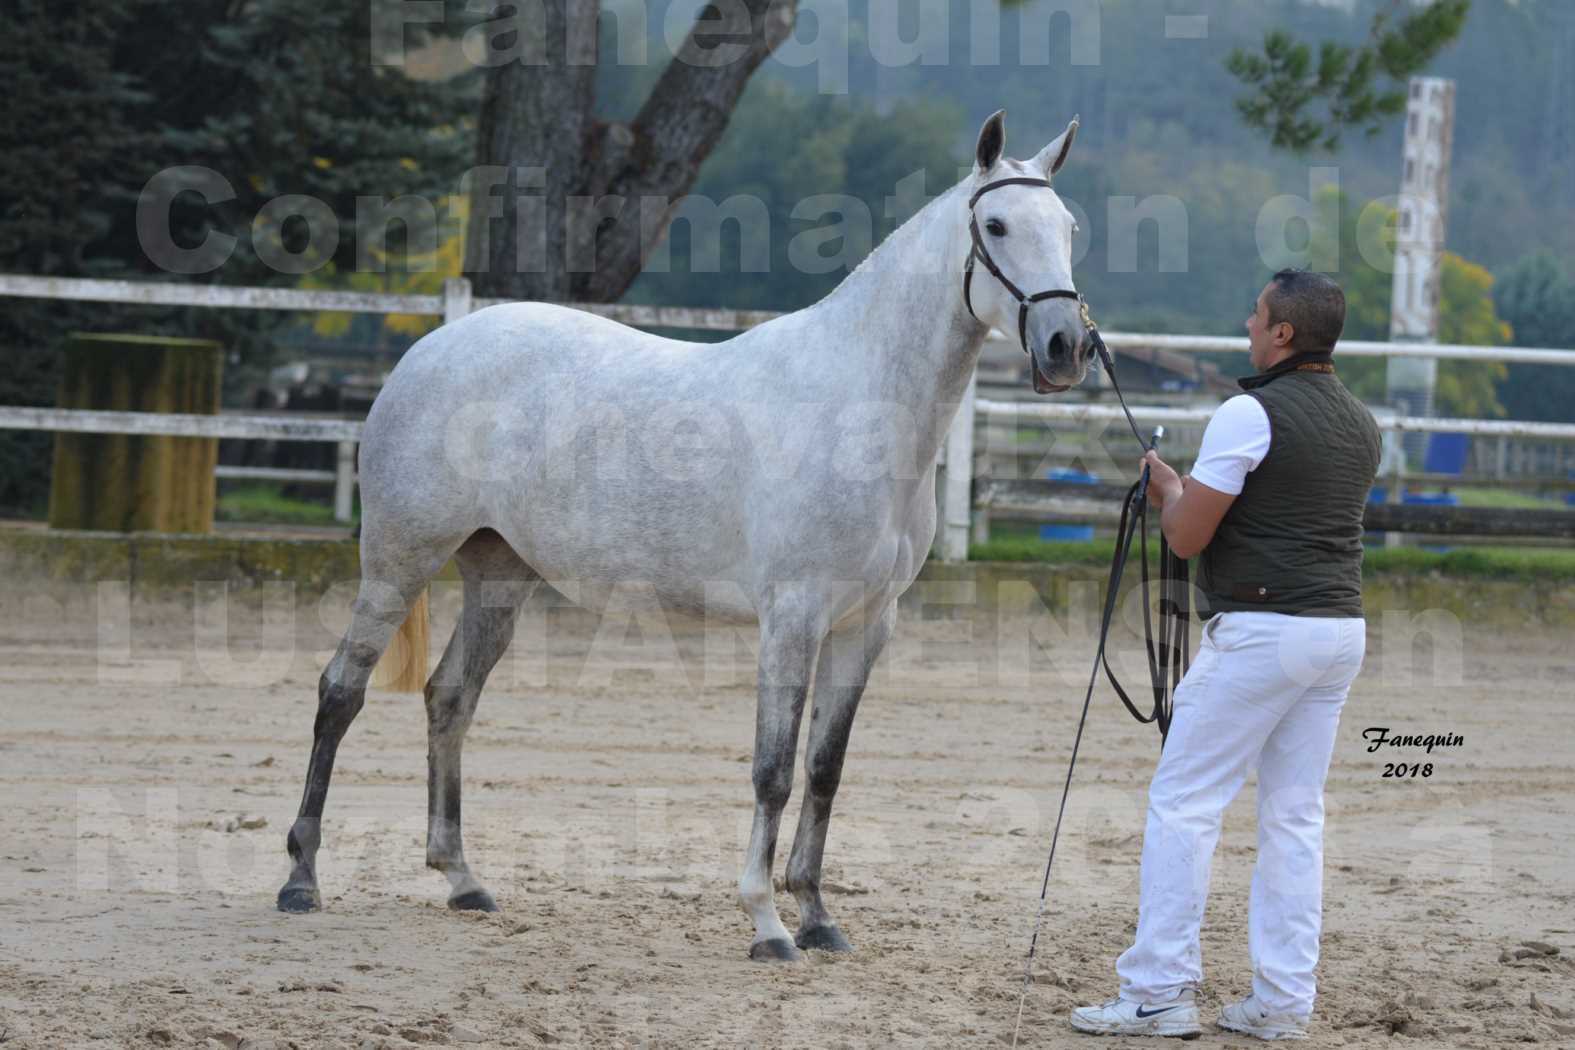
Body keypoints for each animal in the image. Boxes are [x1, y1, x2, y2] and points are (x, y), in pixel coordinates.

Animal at [277, 110, 1089, 963]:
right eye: (995, 226)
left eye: (1068, 227)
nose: (1066, 346)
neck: (858, 403)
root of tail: (428, 352)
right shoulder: (792, 616)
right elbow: (773, 770)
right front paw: (767, 925)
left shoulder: (867, 623)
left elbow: (824, 769)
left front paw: (818, 917)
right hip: (398, 560)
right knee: (341, 691)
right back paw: (302, 879)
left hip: (499, 575)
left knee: (449, 697)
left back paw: (462, 879)